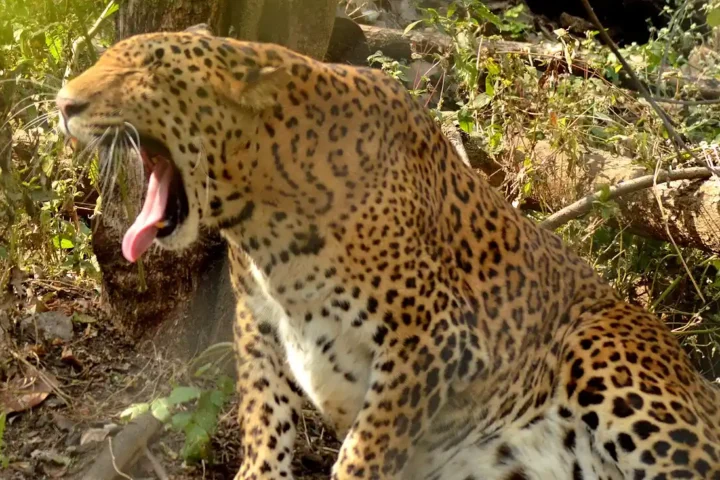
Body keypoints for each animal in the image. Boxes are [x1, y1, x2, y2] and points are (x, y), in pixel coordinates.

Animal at [56, 25, 720, 480]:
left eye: (150, 72)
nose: (63, 104)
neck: (264, 219)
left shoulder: (436, 338)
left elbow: (366, 447)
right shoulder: (256, 322)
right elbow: (266, 418)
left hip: (605, 351)